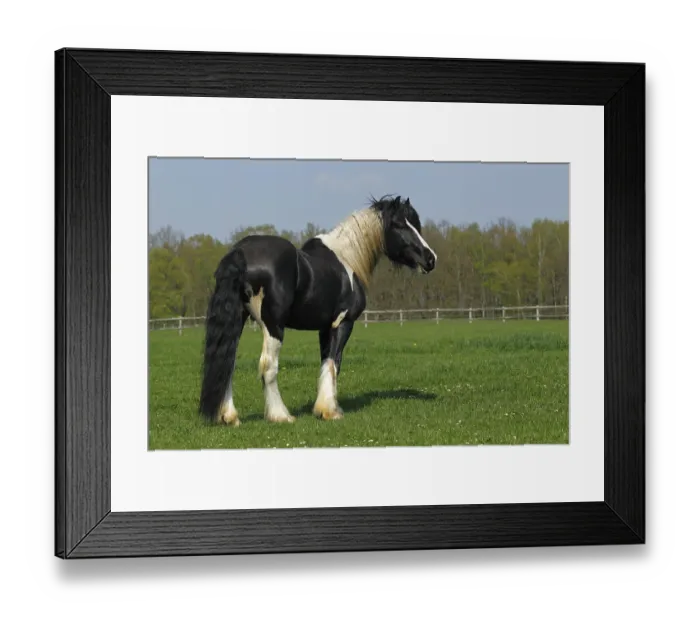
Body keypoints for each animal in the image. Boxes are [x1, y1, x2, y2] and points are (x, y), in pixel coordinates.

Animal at [198, 194, 437, 427]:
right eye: (399, 224)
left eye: (415, 223)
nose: (430, 259)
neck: (347, 259)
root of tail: (240, 252)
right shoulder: (343, 323)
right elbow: (334, 363)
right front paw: (330, 411)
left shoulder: (324, 328)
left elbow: (325, 363)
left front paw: (324, 407)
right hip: (273, 326)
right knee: (268, 366)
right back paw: (280, 415)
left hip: (237, 321)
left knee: (227, 364)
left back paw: (229, 416)